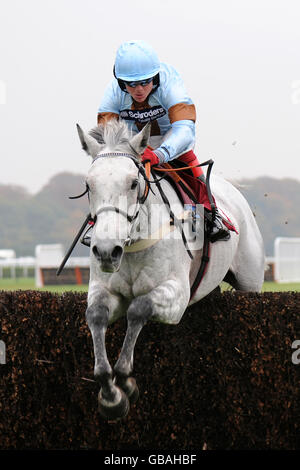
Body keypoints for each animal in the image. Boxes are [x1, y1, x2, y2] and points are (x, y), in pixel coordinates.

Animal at [75, 119, 264, 420]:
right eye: (88, 184)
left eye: (133, 183)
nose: (105, 250)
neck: (133, 245)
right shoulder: (104, 289)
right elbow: (95, 316)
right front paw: (109, 393)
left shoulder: (176, 297)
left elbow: (138, 308)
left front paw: (125, 381)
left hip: (251, 284)